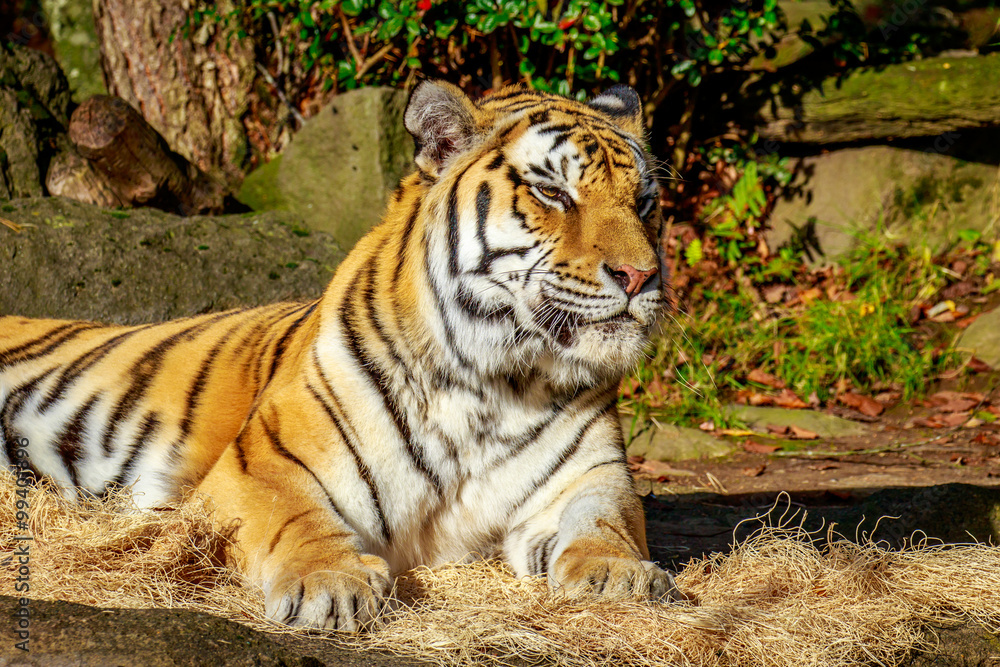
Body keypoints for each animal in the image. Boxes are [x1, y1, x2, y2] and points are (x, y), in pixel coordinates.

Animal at [0, 81, 680, 628]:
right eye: (552, 192)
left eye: (645, 204)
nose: (641, 275)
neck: (494, 386)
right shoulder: (261, 464)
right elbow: (294, 517)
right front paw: (328, 583)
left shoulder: (592, 476)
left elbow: (606, 522)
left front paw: (620, 575)